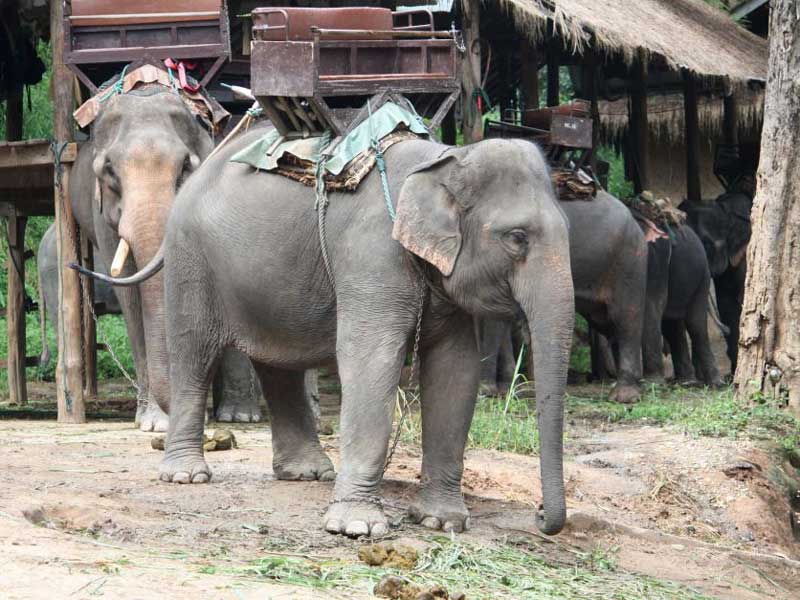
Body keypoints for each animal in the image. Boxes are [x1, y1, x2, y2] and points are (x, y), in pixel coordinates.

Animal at [87, 131, 575, 538]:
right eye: (517, 237)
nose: (539, 516)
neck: (444, 158)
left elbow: (454, 372)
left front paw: (442, 522)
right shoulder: (371, 255)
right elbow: (369, 359)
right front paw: (357, 527)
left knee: (276, 362)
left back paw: (305, 473)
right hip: (191, 258)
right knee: (194, 351)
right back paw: (187, 476)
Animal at [680, 192, 752, 372]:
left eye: (706, 245)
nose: (725, 330)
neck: (725, 210)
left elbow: (741, 303)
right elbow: (726, 306)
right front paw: (734, 371)